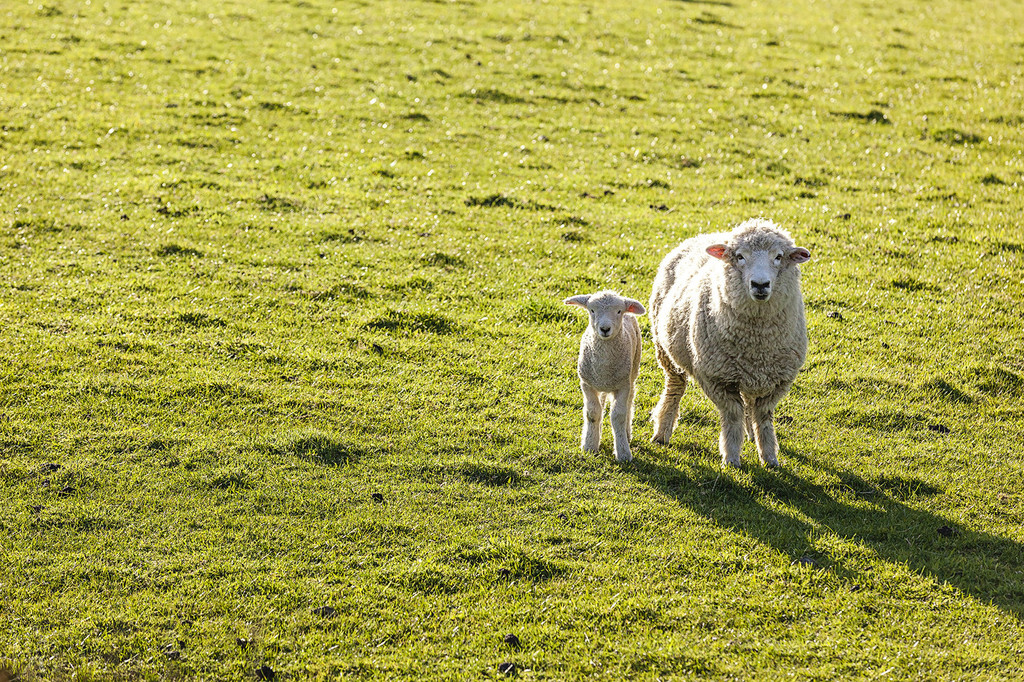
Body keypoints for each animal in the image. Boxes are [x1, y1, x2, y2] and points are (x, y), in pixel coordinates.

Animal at [565, 288, 643, 458]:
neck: (604, 367)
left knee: (630, 401)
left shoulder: (623, 386)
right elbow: (592, 413)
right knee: (600, 404)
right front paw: (589, 445)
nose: (605, 329)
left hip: (633, 370)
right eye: (592, 310)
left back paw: (627, 433)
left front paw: (623, 452)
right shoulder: (586, 384)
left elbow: (618, 416)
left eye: (619, 311)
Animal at [651, 218, 811, 466]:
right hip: (665, 351)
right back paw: (662, 432)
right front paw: (732, 458)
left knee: (749, 404)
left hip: (748, 374)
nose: (760, 284)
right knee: (674, 388)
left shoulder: (778, 380)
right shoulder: (716, 378)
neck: (757, 341)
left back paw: (751, 434)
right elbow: (733, 416)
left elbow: (763, 417)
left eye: (778, 256)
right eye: (740, 256)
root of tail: (705, 235)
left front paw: (769, 458)